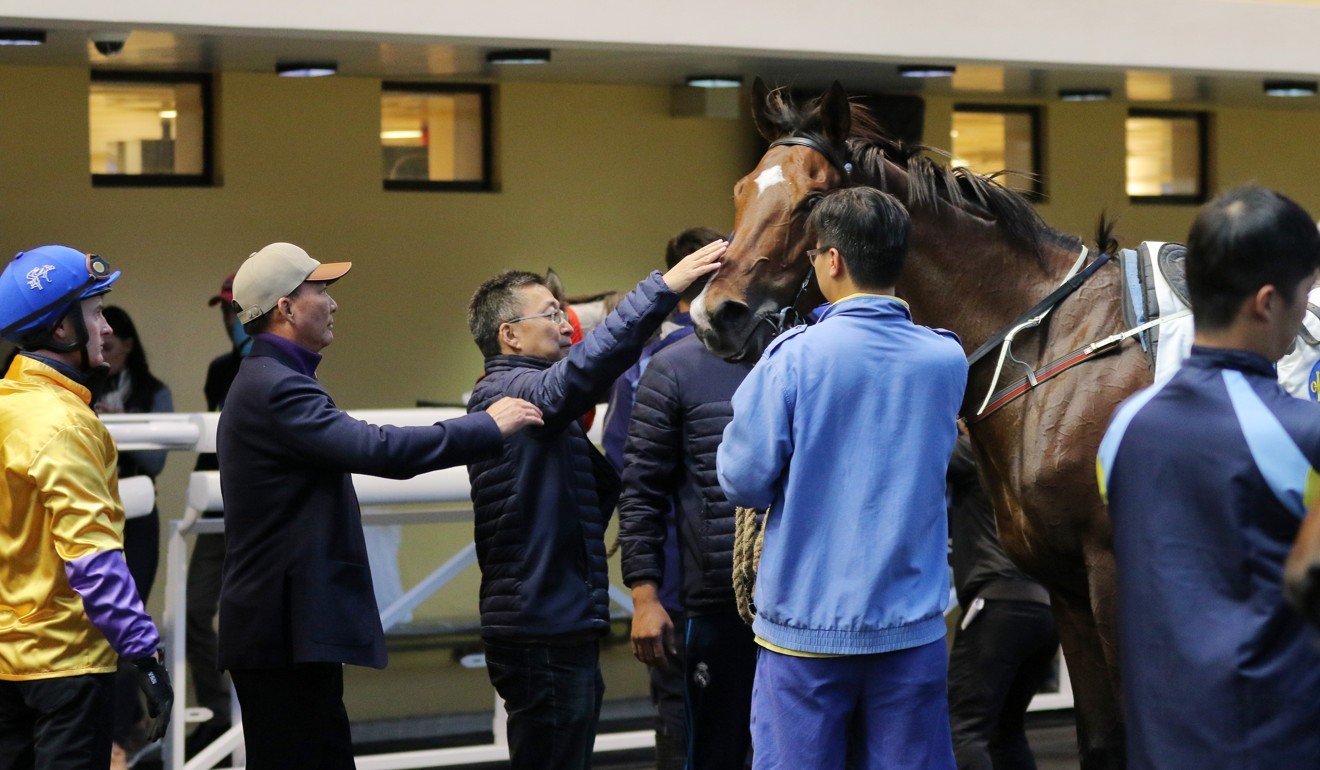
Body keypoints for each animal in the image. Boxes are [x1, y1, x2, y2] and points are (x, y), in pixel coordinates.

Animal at [702, 79, 1145, 770]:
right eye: (743, 188)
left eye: (811, 200)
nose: (715, 314)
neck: (1054, 345)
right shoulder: (1070, 588)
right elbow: (1102, 741)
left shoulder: (1115, 577)